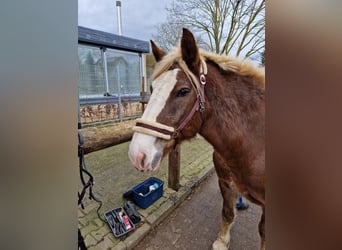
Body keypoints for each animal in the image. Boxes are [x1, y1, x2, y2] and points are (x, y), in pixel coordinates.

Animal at [128, 28, 264, 249]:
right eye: (152, 88)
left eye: (183, 91)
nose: (137, 154)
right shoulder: (225, 182)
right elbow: (227, 213)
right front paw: (222, 241)